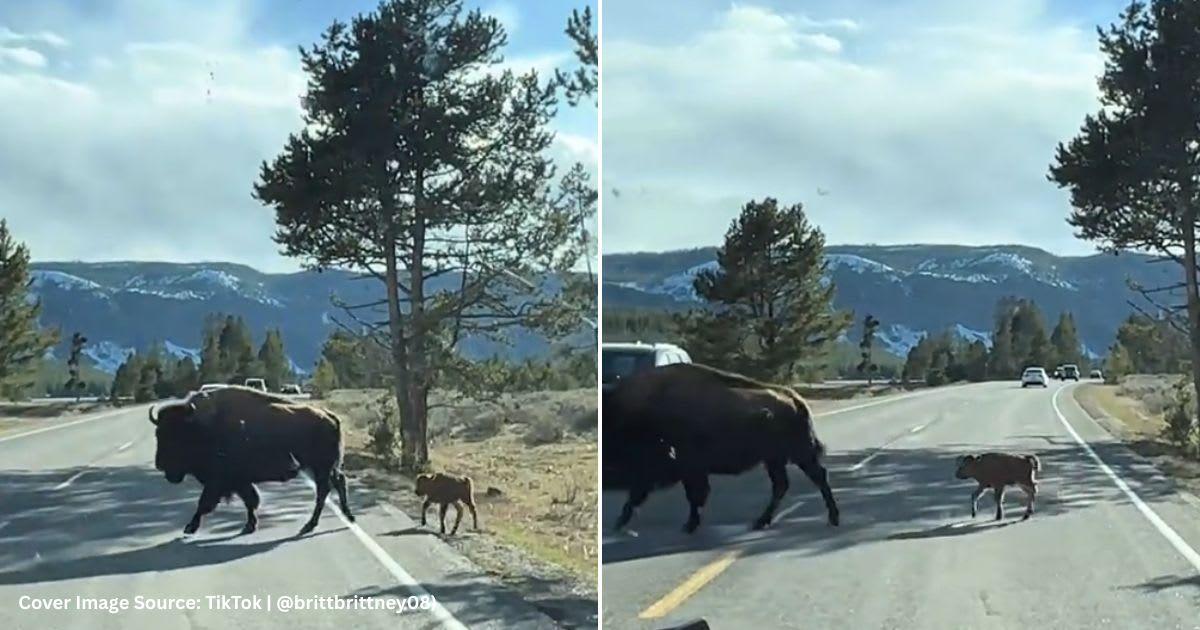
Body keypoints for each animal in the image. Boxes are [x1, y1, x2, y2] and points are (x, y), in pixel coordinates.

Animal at [149, 385, 354, 536]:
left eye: (177, 435)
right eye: (158, 433)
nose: (160, 464)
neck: (202, 427)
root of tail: (331, 416)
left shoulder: (220, 481)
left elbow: (205, 503)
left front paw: (190, 528)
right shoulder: (239, 481)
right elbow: (250, 500)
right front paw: (250, 525)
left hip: (321, 467)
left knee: (324, 491)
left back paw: (310, 525)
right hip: (326, 467)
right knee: (337, 483)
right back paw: (346, 517)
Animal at [604, 363, 839, 533]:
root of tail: (794, 398)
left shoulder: (683, 467)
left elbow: (690, 494)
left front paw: (689, 525)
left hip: (798, 454)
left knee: (816, 477)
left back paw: (832, 518)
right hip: (775, 459)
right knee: (784, 484)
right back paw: (762, 521)